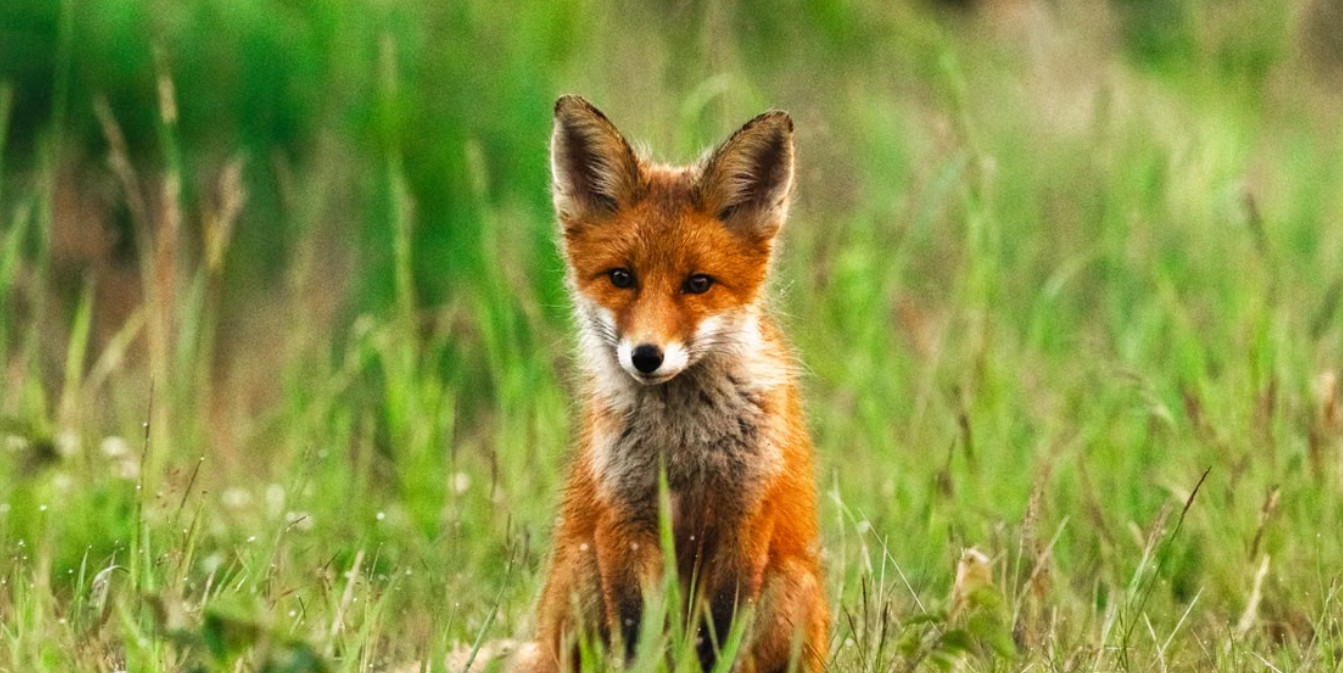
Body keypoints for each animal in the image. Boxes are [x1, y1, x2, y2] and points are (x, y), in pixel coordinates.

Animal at [511, 95, 828, 673]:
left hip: (789, 586)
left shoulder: (743, 516)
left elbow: (718, 636)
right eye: (621, 278)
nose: (646, 356)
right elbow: (638, 635)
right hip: (580, 574)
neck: (683, 446)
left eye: (698, 283)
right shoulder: (626, 519)